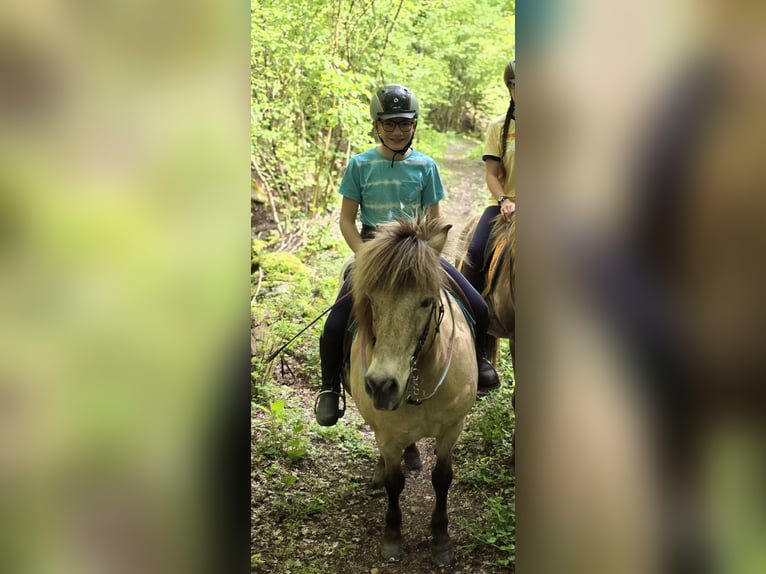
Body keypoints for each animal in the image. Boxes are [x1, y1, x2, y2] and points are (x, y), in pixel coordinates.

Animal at [344, 216, 478, 566]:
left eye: (426, 301)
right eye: (371, 300)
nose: (381, 385)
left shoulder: (452, 429)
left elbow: (442, 478)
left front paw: (441, 538)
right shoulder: (388, 435)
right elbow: (395, 483)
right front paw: (392, 537)